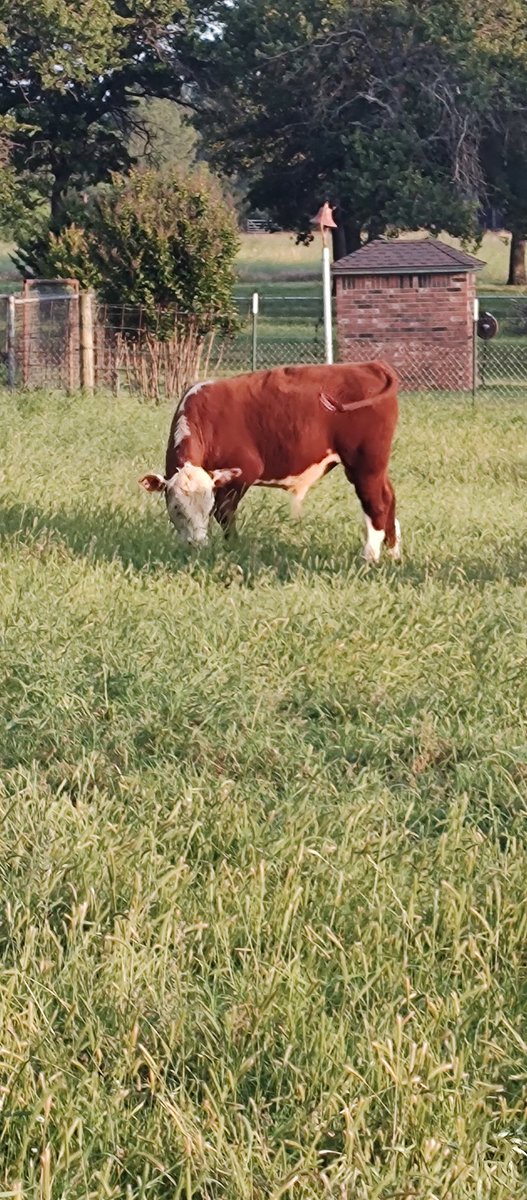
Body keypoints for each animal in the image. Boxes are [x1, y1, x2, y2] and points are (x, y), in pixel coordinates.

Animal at [139, 362, 401, 562]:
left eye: (207, 506)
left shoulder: (242, 474)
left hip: (365, 464)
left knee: (376, 503)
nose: (196, 544)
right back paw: (393, 551)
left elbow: (225, 514)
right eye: (176, 507)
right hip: (373, 467)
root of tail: (369, 366)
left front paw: (233, 546)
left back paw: (370, 556)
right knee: (388, 496)